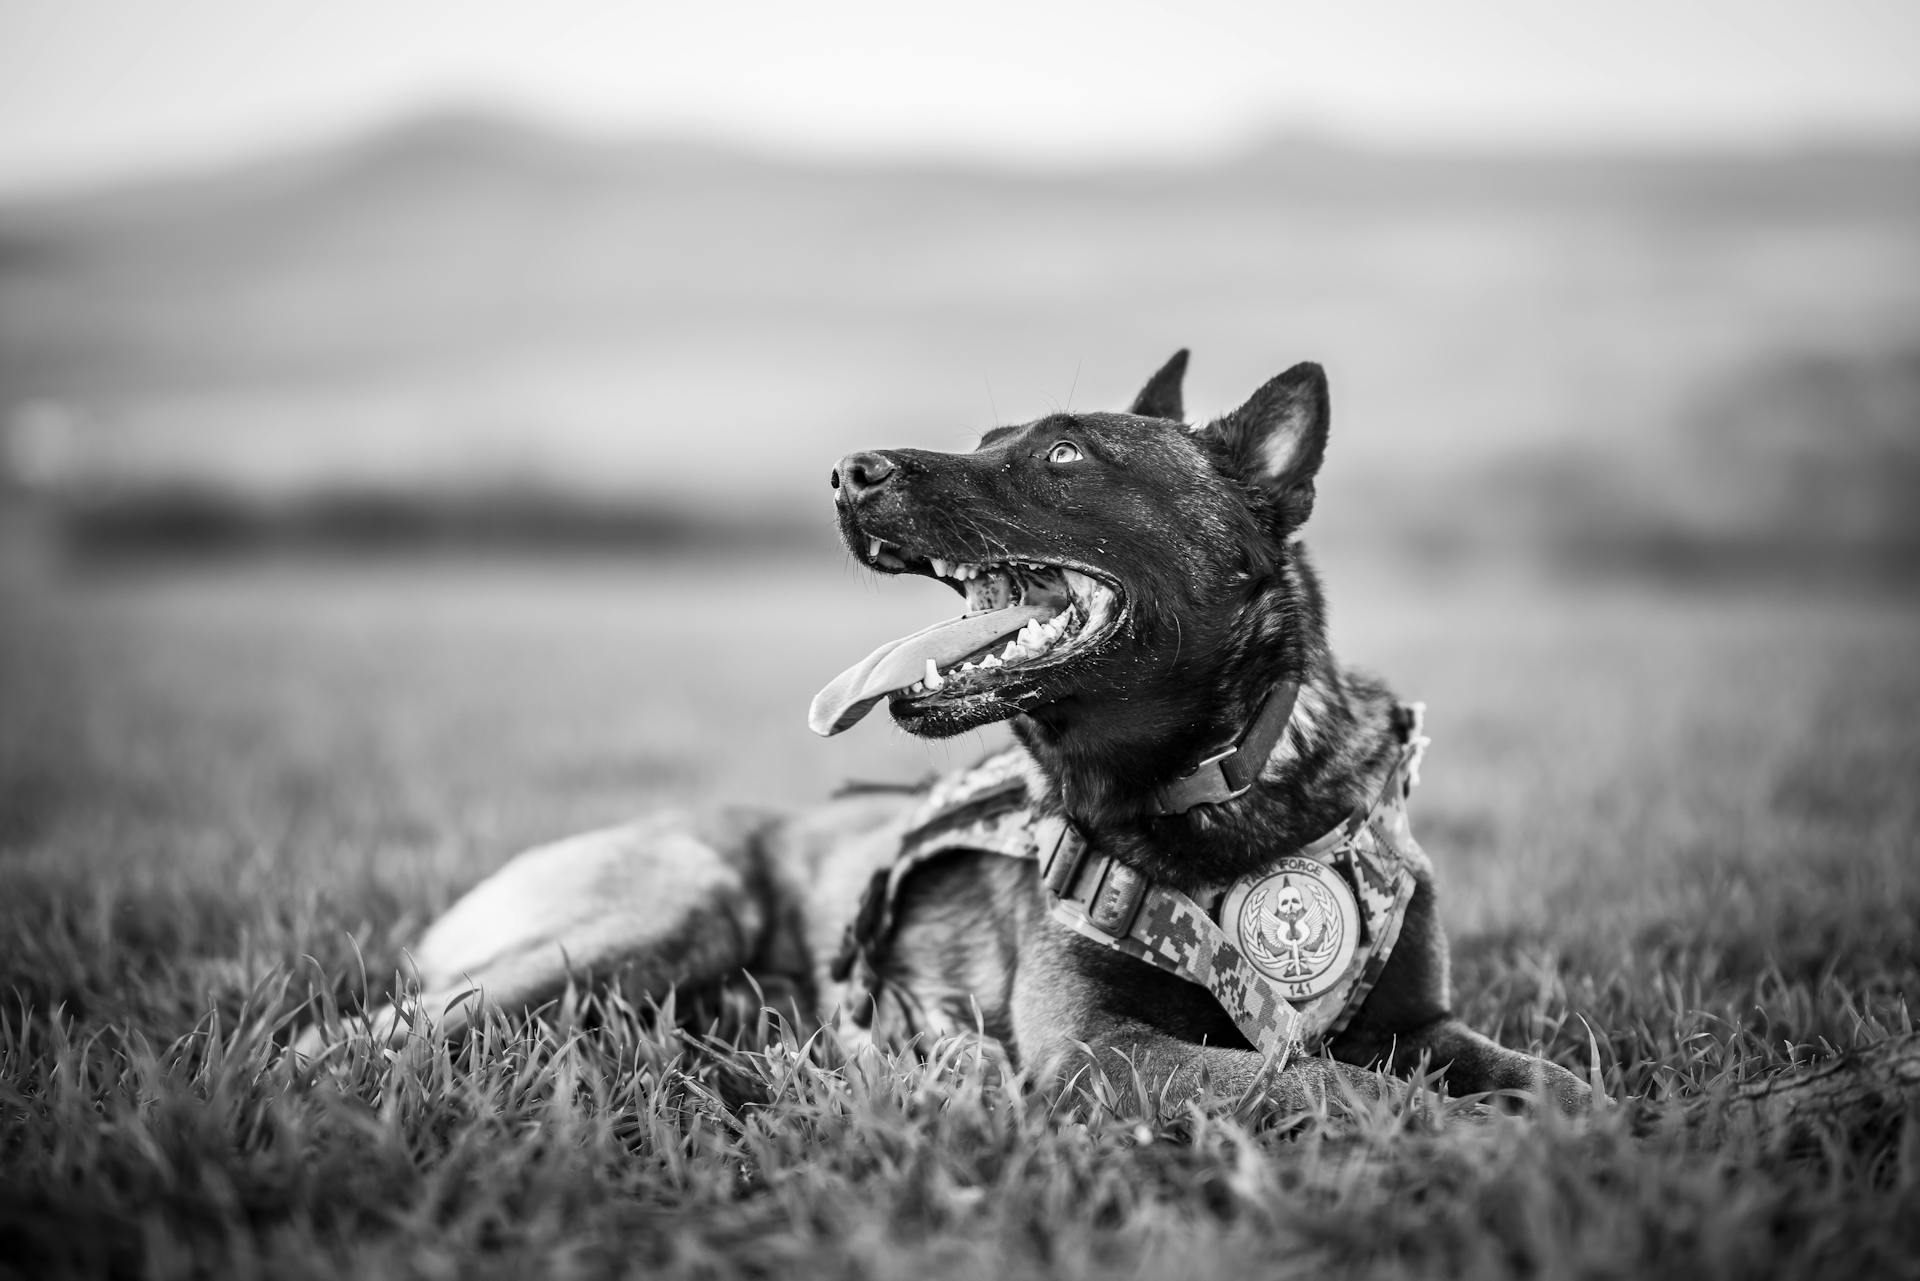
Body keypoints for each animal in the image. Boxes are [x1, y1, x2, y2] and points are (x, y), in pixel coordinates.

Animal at [299, 353, 1589, 1121]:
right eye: (991, 433)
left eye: (1064, 453)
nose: (845, 472)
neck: (1224, 793)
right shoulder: (1102, 1051)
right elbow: (1328, 1085)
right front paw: (1470, 1141)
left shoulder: (1424, 1023)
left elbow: (1535, 1071)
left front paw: (1584, 1125)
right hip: (665, 908)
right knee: (363, 1033)